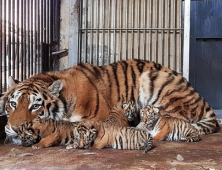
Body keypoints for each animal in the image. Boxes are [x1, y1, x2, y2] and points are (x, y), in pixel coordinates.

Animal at [0, 59, 219, 144]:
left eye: (36, 106)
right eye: (13, 104)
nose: (15, 128)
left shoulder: (101, 116)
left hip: (155, 79)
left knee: (170, 119)